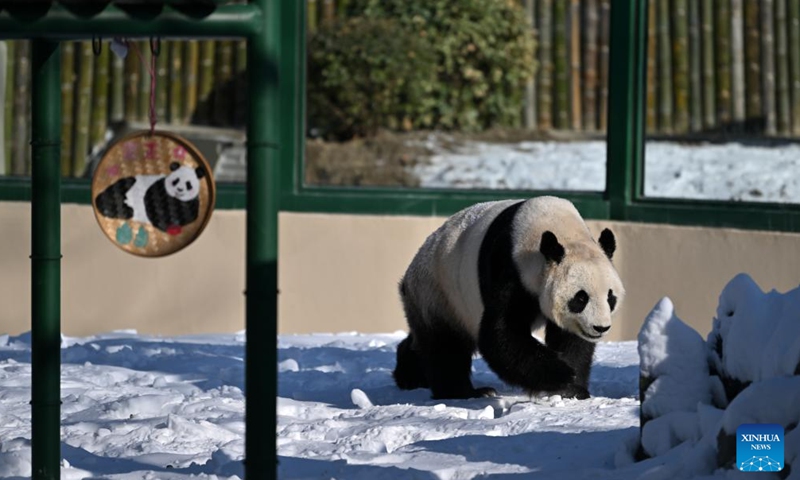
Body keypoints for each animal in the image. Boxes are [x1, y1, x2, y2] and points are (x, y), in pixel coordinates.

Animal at [394, 195, 624, 402]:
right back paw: (464, 392)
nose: (600, 328)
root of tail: (408, 277)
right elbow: (501, 333)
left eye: (610, 297)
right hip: (439, 292)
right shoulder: (509, 267)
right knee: (446, 347)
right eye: (581, 298)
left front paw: (572, 390)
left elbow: (571, 339)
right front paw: (563, 373)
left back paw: (411, 375)